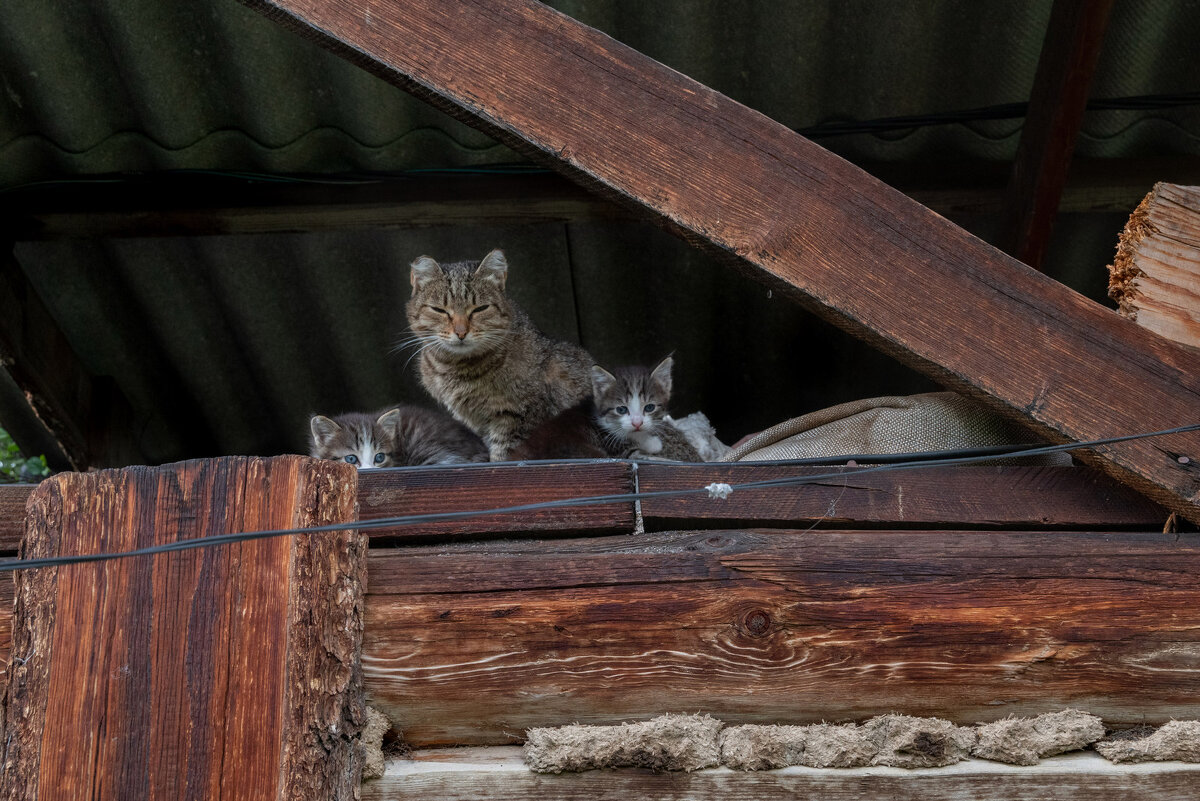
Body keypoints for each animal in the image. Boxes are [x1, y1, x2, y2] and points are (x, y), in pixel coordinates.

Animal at [408, 250, 595, 462]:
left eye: (480, 309)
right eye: (439, 310)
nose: (461, 332)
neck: (455, 367)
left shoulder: (517, 415)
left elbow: (504, 456)